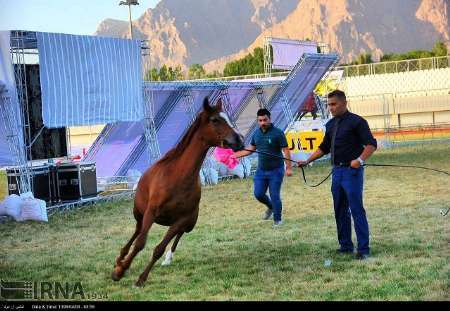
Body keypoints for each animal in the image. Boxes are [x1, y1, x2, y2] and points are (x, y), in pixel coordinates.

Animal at [111, 96, 244, 286]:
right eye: (215, 120)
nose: (239, 140)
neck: (178, 177)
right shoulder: (151, 212)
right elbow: (140, 243)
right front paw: (120, 271)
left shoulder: (181, 220)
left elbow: (159, 248)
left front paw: (141, 278)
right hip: (140, 213)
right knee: (137, 231)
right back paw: (121, 258)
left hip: (190, 222)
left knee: (178, 235)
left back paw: (167, 258)